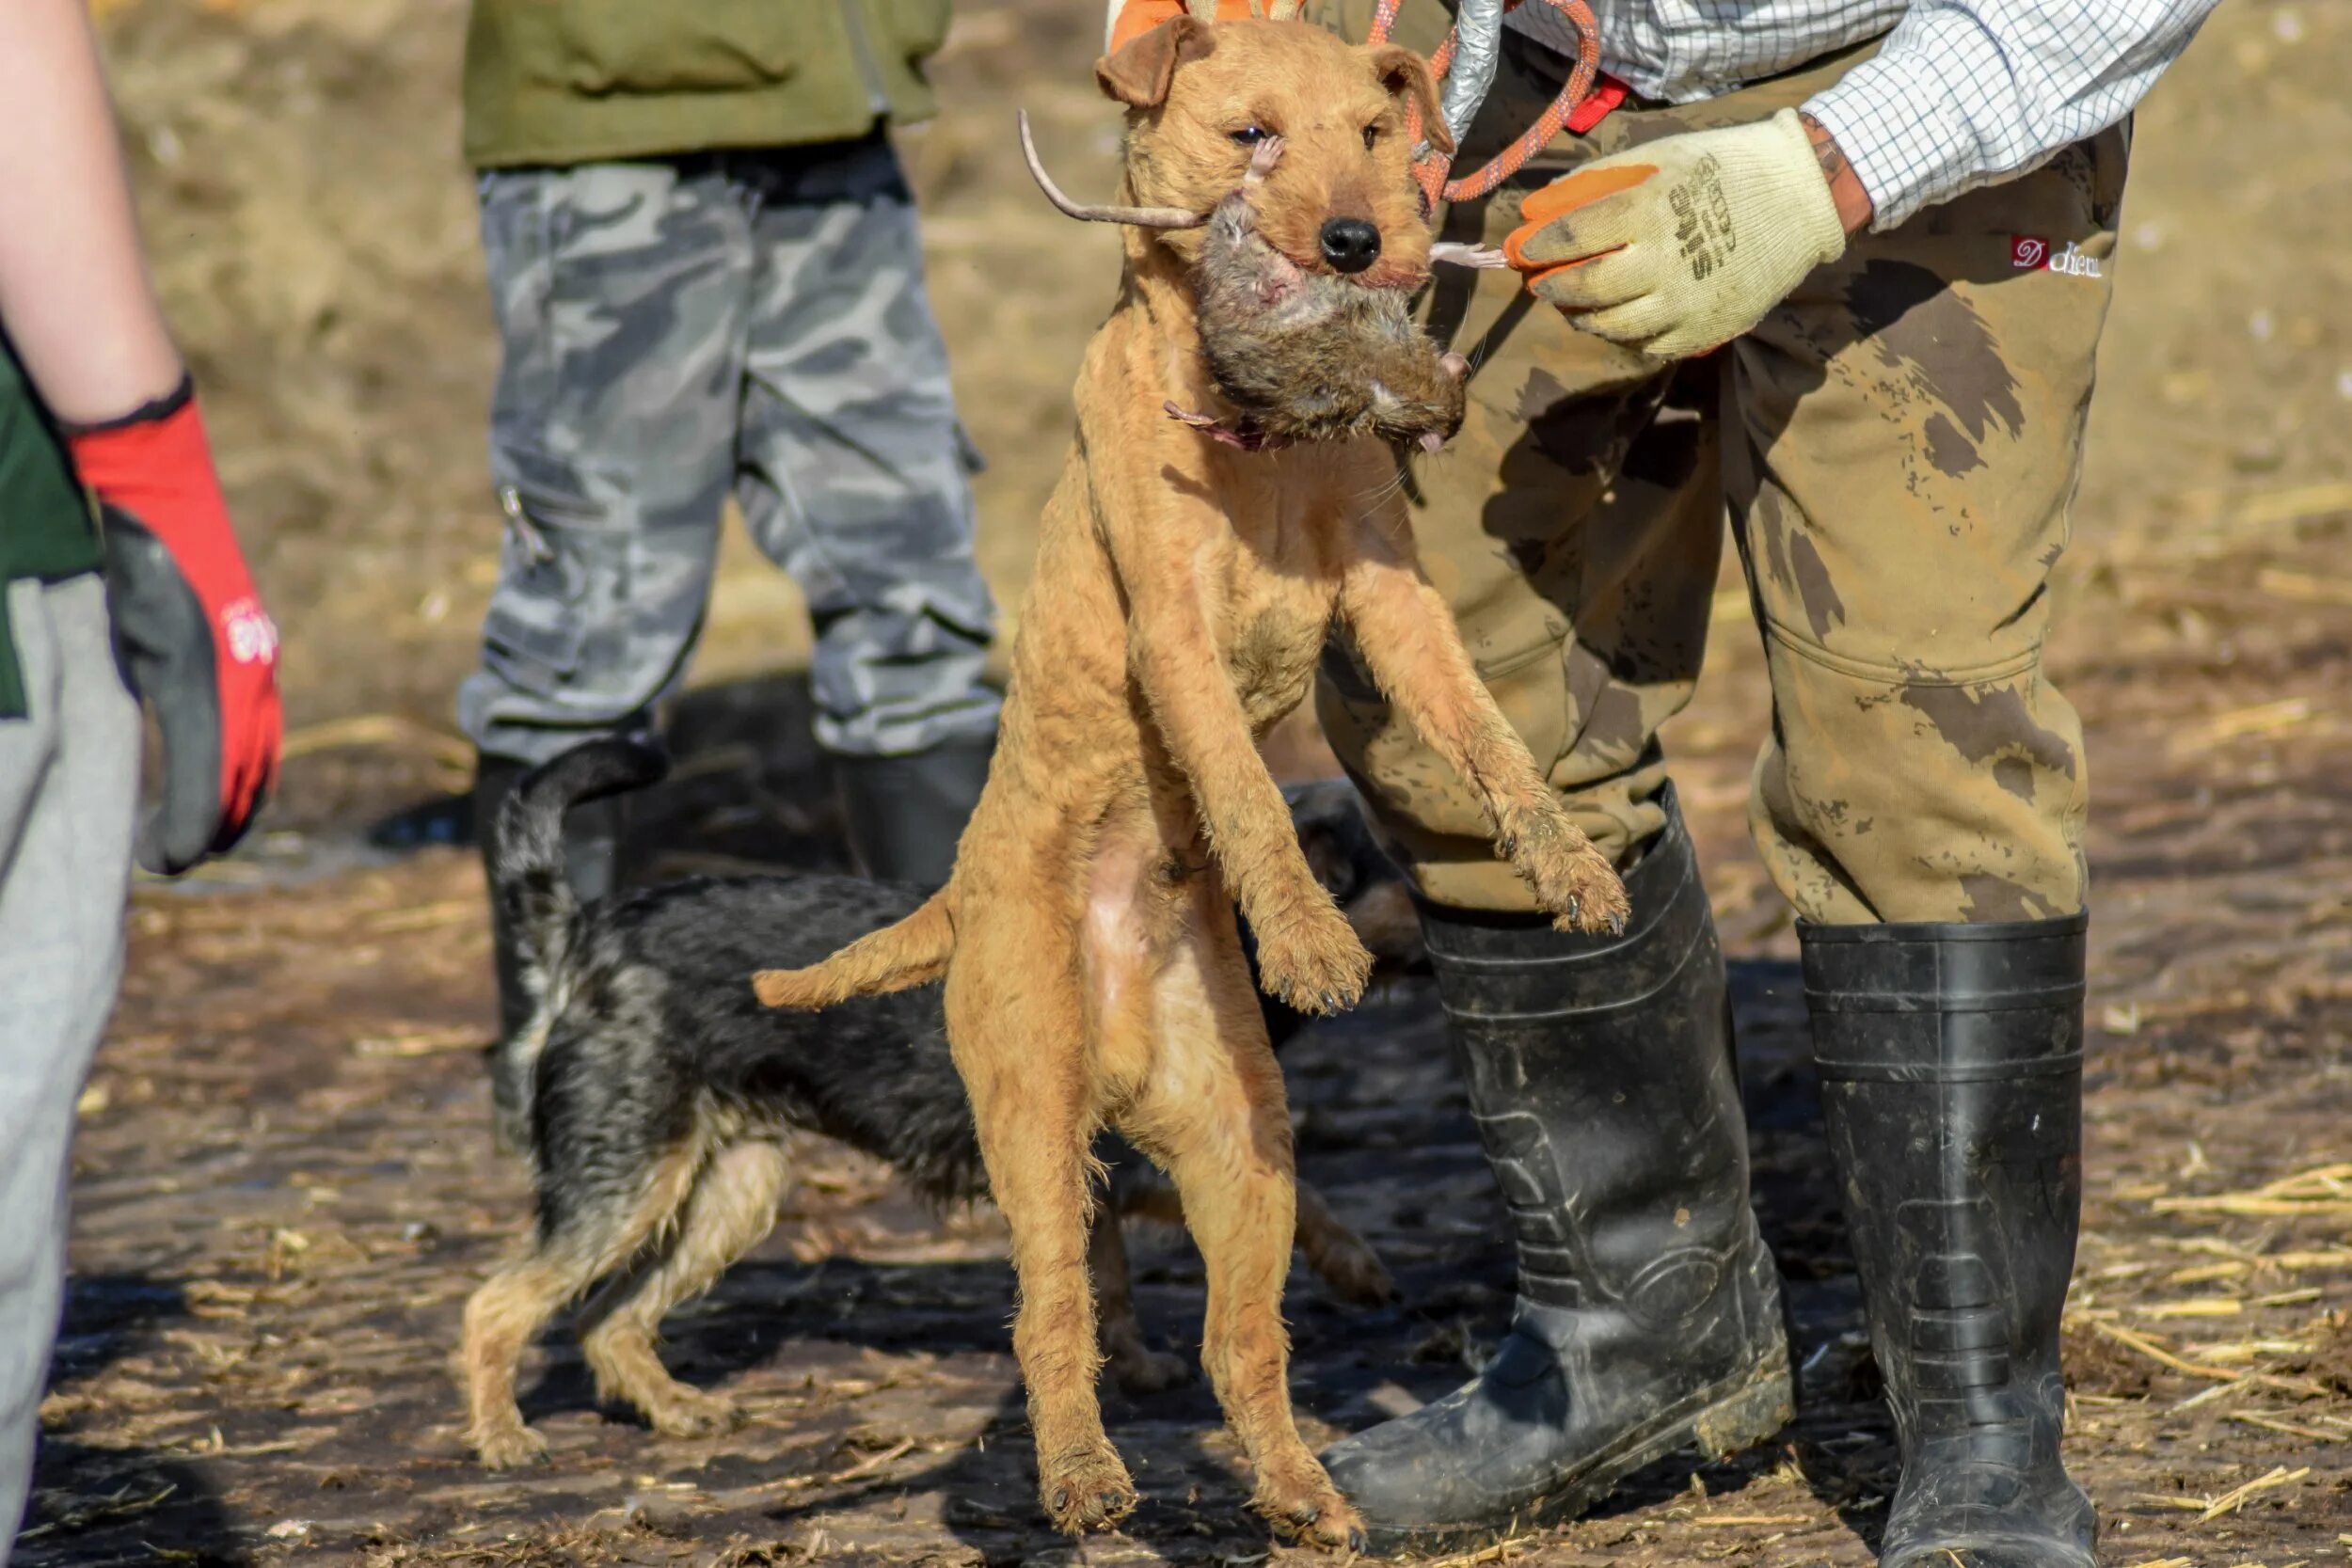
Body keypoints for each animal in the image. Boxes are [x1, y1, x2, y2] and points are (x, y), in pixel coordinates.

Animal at [461, 737, 1411, 1476]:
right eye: (1402, 861)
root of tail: (584, 933)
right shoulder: (1142, 1157)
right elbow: (1301, 1192)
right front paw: (1358, 1264)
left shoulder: (1091, 1173)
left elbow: (1104, 1276)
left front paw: (1134, 1363)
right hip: (626, 1176)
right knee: (499, 1303)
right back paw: (503, 1438)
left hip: (729, 1189)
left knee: (605, 1319)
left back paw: (676, 1408)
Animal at [757, 8, 1637, 1542]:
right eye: (1251, 136)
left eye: (1372, 127)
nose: (1359, 241)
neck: (1266, 432)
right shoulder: (1172, 630)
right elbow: (1241, 788)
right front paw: (1309, 936)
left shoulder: (1391, 599)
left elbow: (1488, 737)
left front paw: (1567, 859)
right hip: (1033, 1118)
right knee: (1051, 1316)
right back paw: (1084, 1477)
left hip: (1243, 1145)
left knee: (1242, 1342)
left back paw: (1300, 1494)